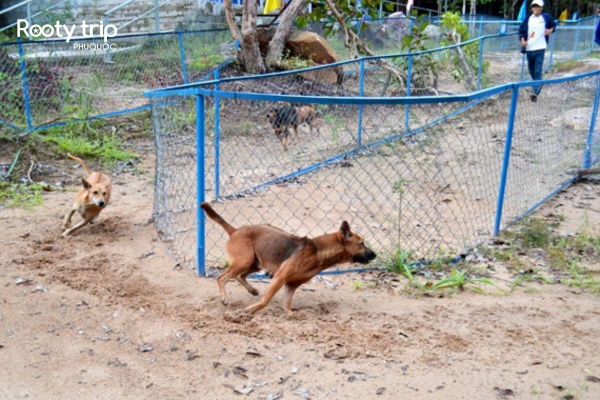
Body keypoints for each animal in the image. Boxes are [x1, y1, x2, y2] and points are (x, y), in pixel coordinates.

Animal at [202, 203, 376, 316]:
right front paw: (247, 311)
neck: (318, 252)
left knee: (239, 276)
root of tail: (235, 230)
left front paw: (293, 316)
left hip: (254, 263)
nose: (375, 255)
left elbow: (287, 305)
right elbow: (265, 301)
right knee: (222, 277)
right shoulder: (280, 277)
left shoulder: (291, 284)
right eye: (362, 243)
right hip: (244, 261)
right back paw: (225, 298)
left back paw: (252, 290)